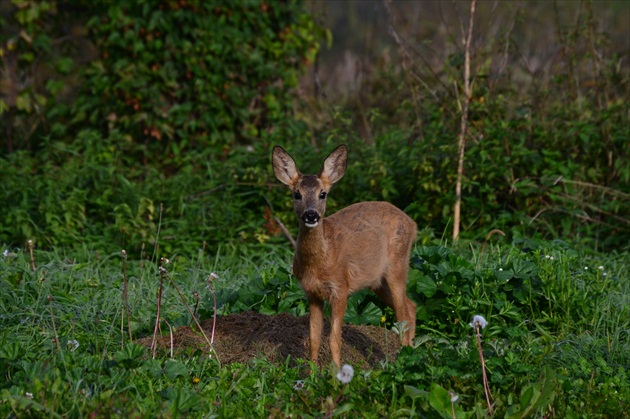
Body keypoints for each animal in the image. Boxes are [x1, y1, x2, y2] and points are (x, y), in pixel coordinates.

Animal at [272, 144, 418, 368]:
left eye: (323, 194)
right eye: (297, 194)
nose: (311, 215)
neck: (319, 263)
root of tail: (412, 223)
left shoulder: (341, 288)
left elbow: (334, 339)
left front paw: (336, 372)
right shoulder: (311, 293)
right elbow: (314, 338)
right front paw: (312, 373)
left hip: (398, 266)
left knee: (402, 316)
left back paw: (404, 359)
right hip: (377, 282)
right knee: (411, 306)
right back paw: (411, 352)